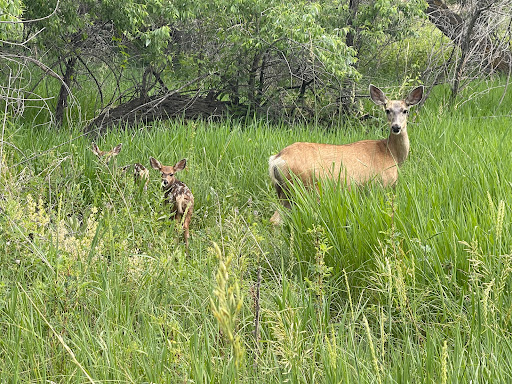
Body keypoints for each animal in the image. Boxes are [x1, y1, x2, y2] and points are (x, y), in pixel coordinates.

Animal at [268, 82, 424, 224]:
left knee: (274, 220)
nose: (396, 127)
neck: (392, 155)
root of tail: (277, 159)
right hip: (305, 188)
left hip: (284, 192)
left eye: (405, 110)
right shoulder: (383, 184)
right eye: (387, 110)